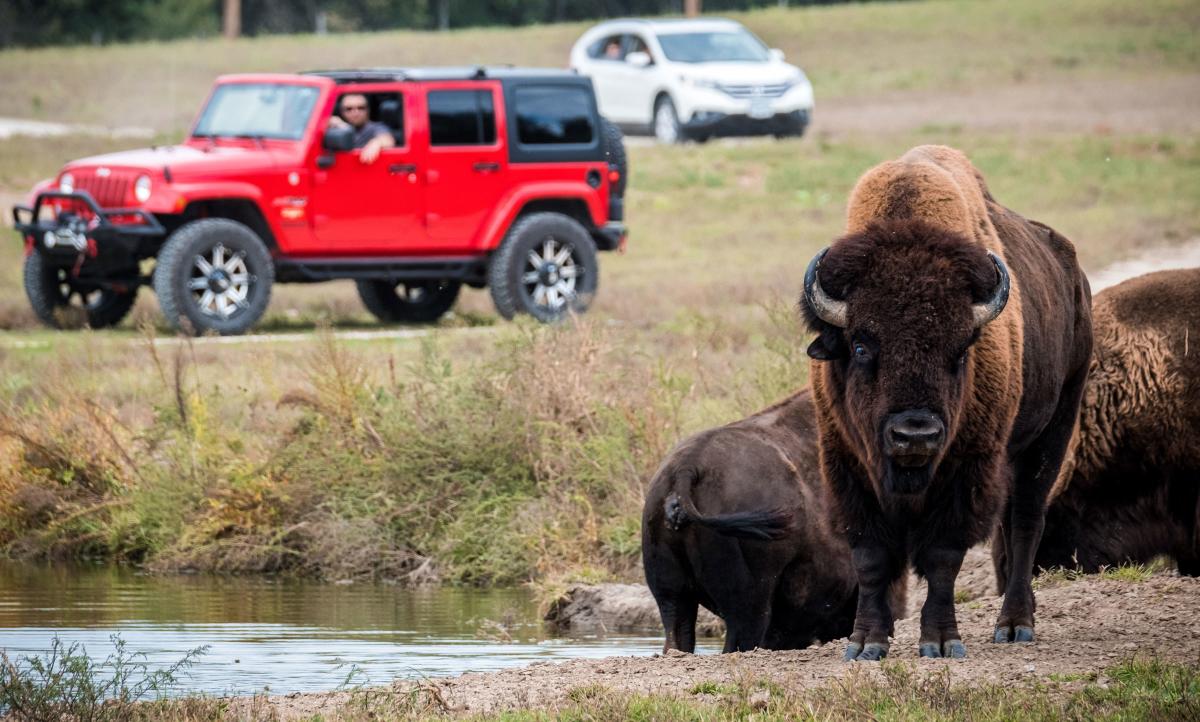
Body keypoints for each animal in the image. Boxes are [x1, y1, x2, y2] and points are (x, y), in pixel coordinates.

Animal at [801, 144, 1094, 657]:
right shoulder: (845, 465)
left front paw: (940, 641)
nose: (915, 434)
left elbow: (942, 557)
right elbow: (871, 557)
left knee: (1026, 522)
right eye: (860, 345)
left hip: (1054, 427)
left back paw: (1014, 625)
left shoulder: (967, 468)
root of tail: (1074, 274)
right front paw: (865, 643)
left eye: (960, 351)